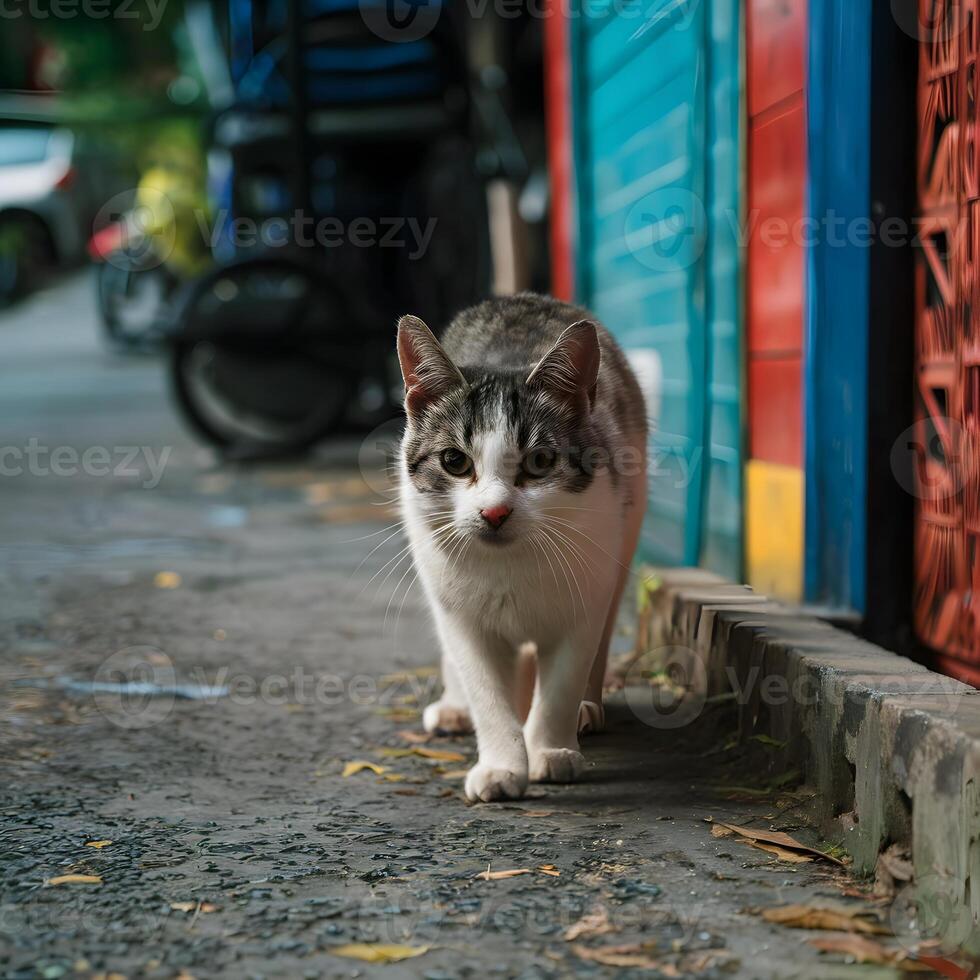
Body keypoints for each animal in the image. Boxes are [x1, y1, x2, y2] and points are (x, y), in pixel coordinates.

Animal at [394, 294, 648, 800]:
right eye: (454, 461)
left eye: (540, 461)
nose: (495, 512)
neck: (509, 564)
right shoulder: (462, 617)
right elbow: (486, 689)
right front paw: (502, 764)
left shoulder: (586, 596)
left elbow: (563, 681)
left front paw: (549, 748)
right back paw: (455, 707)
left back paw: (585, 709)